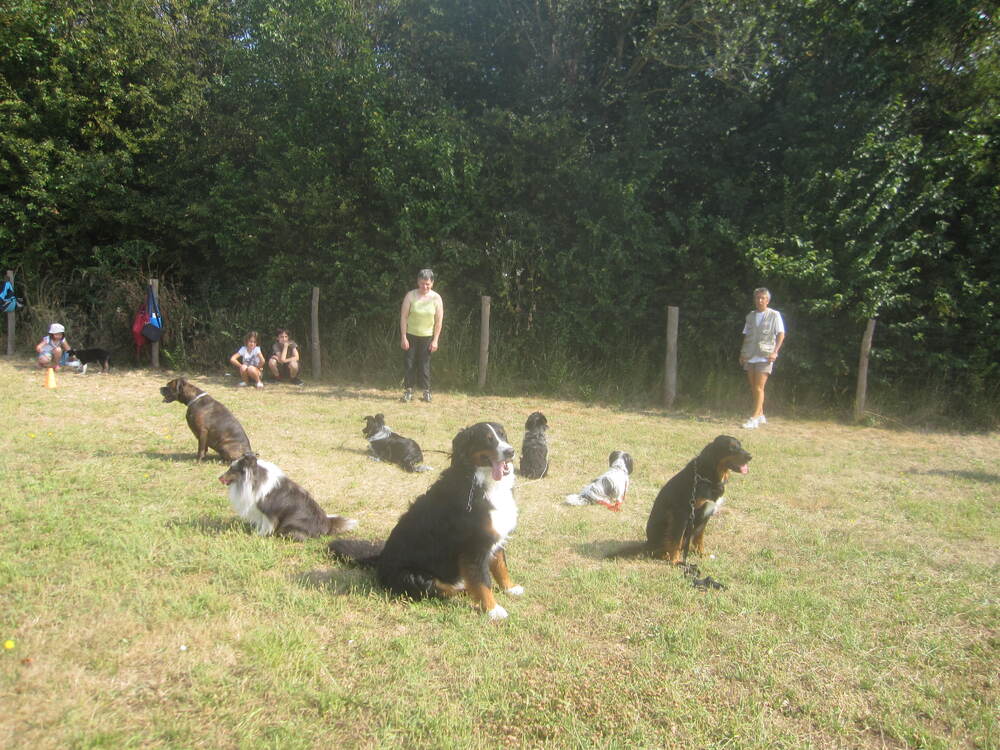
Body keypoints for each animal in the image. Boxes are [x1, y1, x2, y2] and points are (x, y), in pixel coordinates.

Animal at [220, 452, 360, 540]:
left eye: (232, 469)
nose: (219, 478)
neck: (254, 479)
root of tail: (327, 524)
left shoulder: (269, 513)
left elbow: (266, 526)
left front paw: (259, 536)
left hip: (290, 525)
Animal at [644, 434, 752, 564]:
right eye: (731, 447)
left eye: (740, 445)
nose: (750, 457)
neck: (709, 478)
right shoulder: (682, 513)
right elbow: (676, 539)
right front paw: (675, 560)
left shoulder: (706, 513)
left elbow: (699, 537)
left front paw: (701, 554)